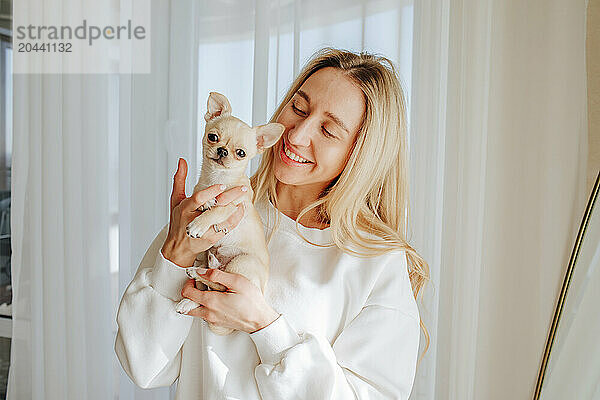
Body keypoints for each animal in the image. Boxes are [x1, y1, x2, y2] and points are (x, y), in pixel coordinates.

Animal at [175, 92, 284, 336]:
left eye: (241, 153)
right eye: (213, 137)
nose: (223, 151)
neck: (218, 179)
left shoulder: (235, 205)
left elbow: (218, 210)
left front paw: (198, 224)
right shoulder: (199, 189)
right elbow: (204, 197)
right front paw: (207, 201)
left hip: (241, 263)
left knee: (219, 284)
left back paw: (198, 273)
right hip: (206, 258)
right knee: (208, 288)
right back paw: (192, 291)